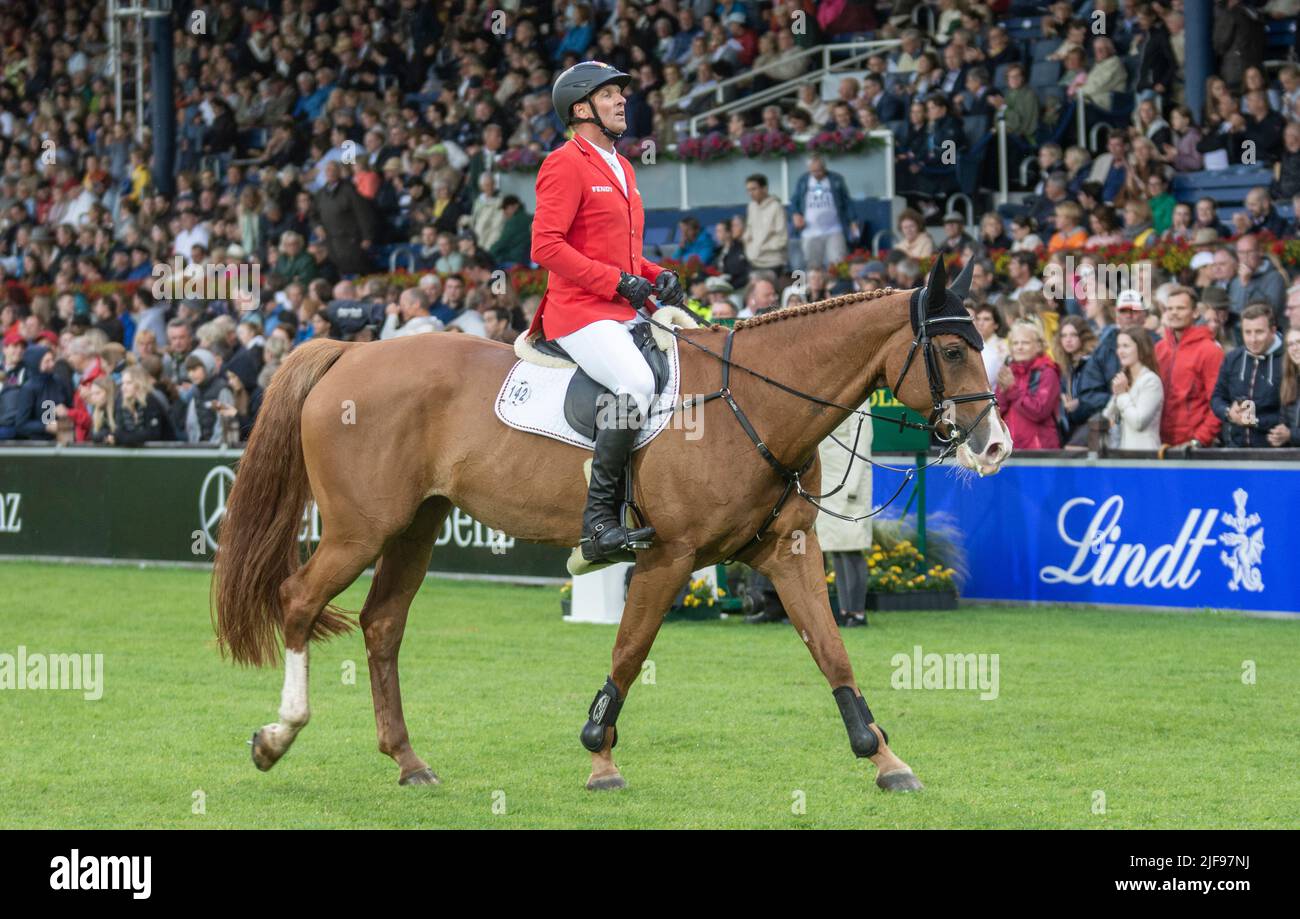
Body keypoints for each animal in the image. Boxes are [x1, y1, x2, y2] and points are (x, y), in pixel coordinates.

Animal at [213, 261, 1008, 795]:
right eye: (952, 351)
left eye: (983, 345)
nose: (995, 445)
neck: (750, 399)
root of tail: (351, 350)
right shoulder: (668, 557)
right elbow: (628, 653)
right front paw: (600, 755)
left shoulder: (787, 553)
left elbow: (832, 652)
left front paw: (883, 756)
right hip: (359, 530)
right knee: (298, 602)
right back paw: (275, 737)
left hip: (414, 526)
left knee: (381, 624)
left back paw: (409, 762)